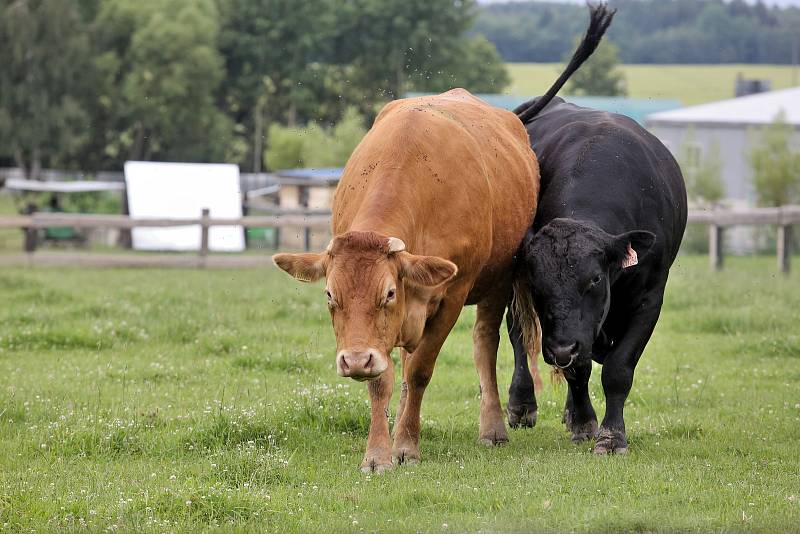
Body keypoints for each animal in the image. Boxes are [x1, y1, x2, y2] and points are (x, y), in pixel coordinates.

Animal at [272, 89, 540, 474]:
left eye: (388, 292)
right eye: (329, 294)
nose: (354, 361)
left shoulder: (452, 297)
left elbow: (420, 372)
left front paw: (407, 447)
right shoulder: (380, 336)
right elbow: (382, 381)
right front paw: (378, 452)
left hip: (498, 280)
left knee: (484, 344)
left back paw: (492, 427)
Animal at [506, 97, 688, 456]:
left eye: (593, 279)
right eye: (537, 282)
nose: (561, 349)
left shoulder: (649, 301)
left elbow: (618, 370)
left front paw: (611, 436)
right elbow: (579, 369)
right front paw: (585, 423)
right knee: (518, 332)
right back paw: (522, 404)